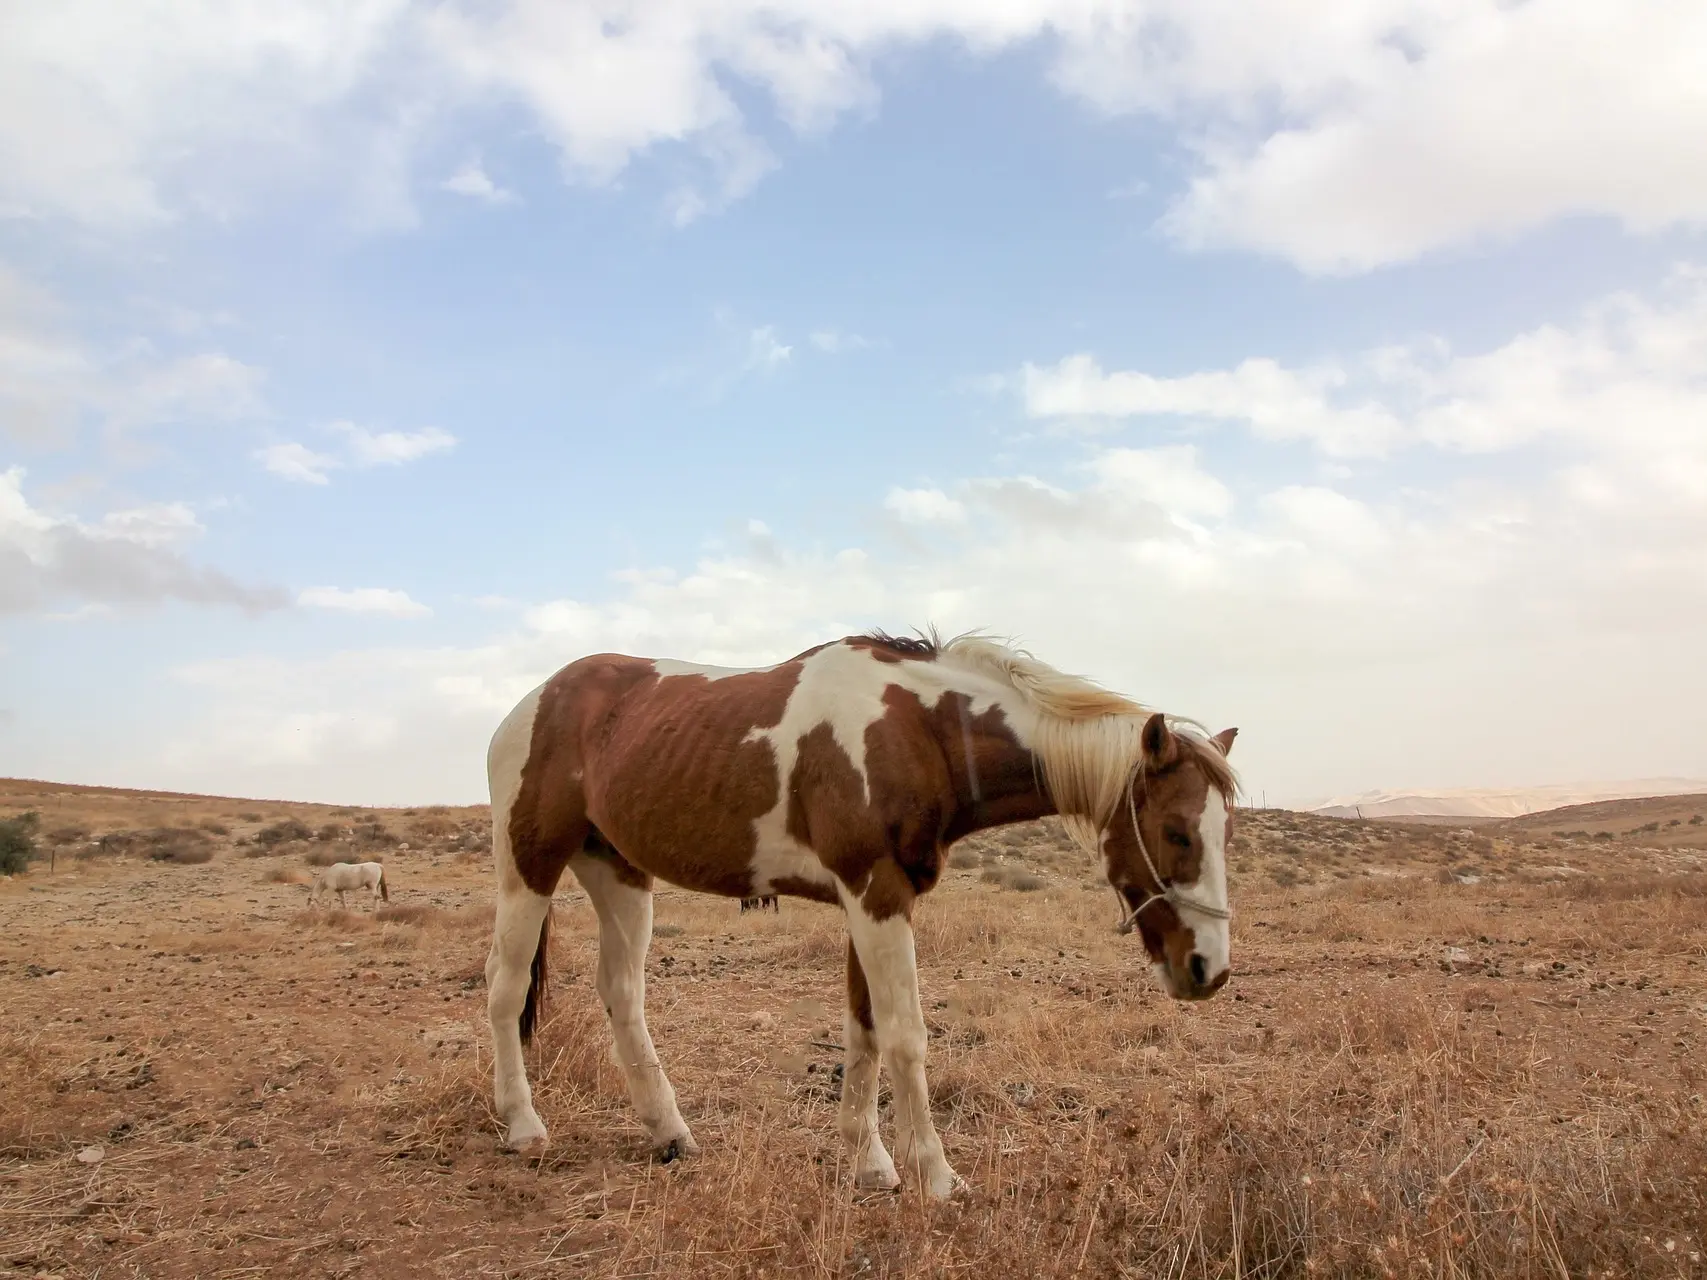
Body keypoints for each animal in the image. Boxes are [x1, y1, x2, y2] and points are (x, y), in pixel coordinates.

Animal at [488, 631, 1235, 1201]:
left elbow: (864, 1033)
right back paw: (523, 1127)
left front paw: (869, 1163)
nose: (1209, 969)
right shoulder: (877, 896)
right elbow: (905, 1035)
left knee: (621, 994)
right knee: (506, 988)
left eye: (1224, 828)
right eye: (1175, 832)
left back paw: (669, 1133)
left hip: (617, 874)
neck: (918, 732)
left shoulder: (869, 900)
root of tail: (535, 702)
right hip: (529, 865)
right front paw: (936, 1175)